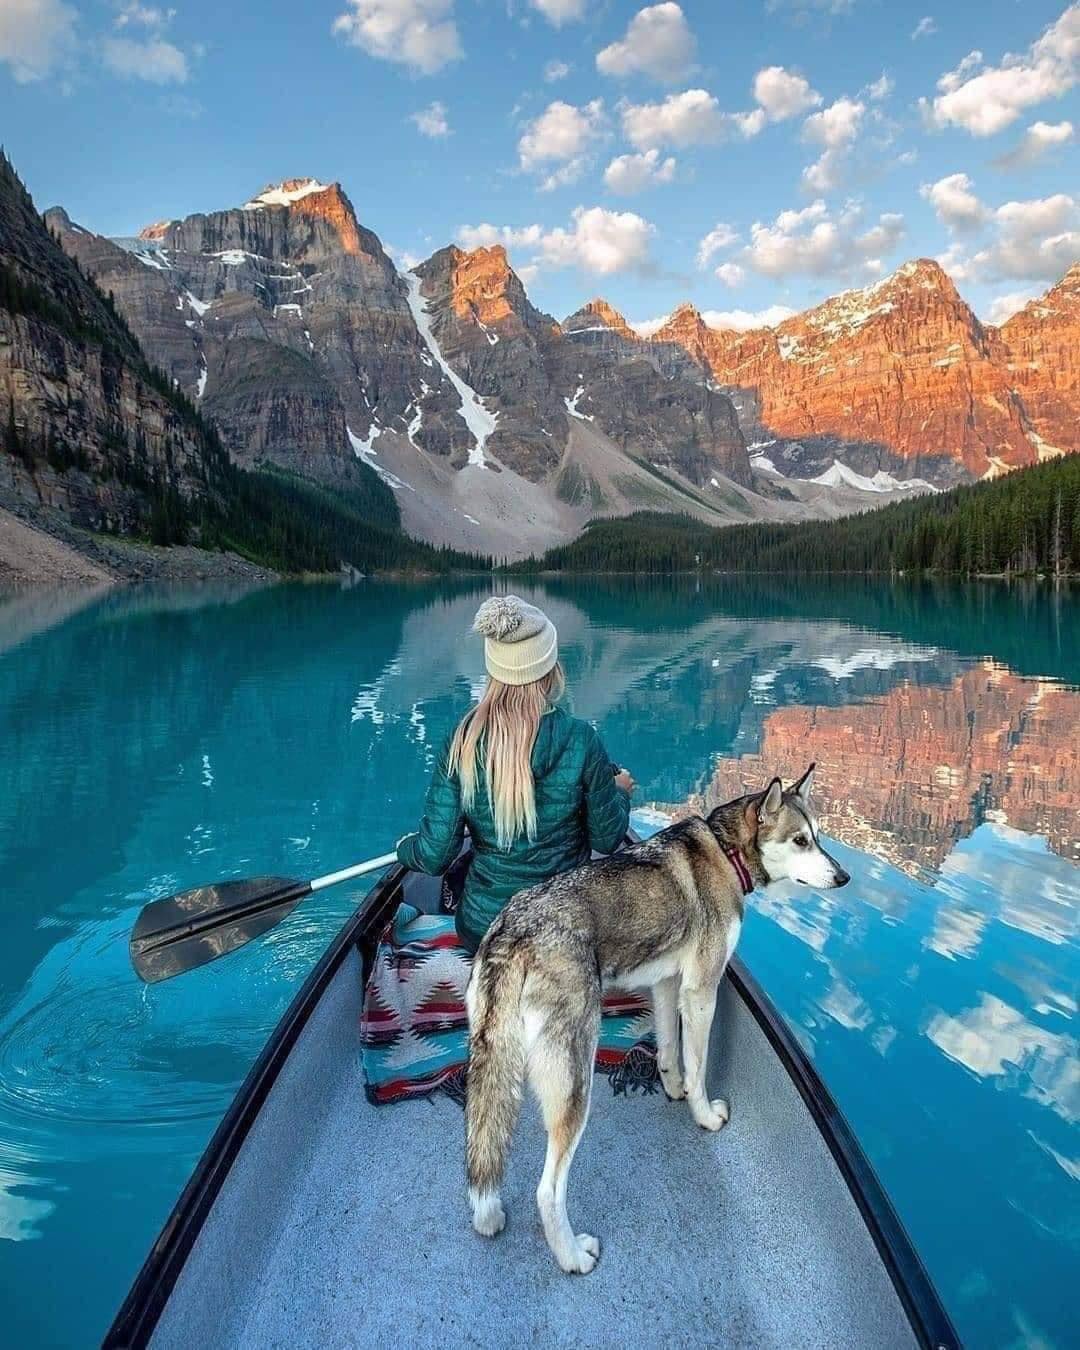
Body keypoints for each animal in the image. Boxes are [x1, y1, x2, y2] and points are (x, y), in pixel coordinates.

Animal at [461, 766, 842, 1269]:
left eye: (818, 838)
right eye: (800, 840)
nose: (844, 876)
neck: (726, 852)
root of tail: (513, 932)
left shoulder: (666, 984)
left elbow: (669, 1052)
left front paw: (673, 1089)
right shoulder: (701, 990)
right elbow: (698, 1066)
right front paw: (704, 1115)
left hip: (491, 1066)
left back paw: (489, 1217)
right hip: (575, 1081)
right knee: (548, 1191)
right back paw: (573, 1256)